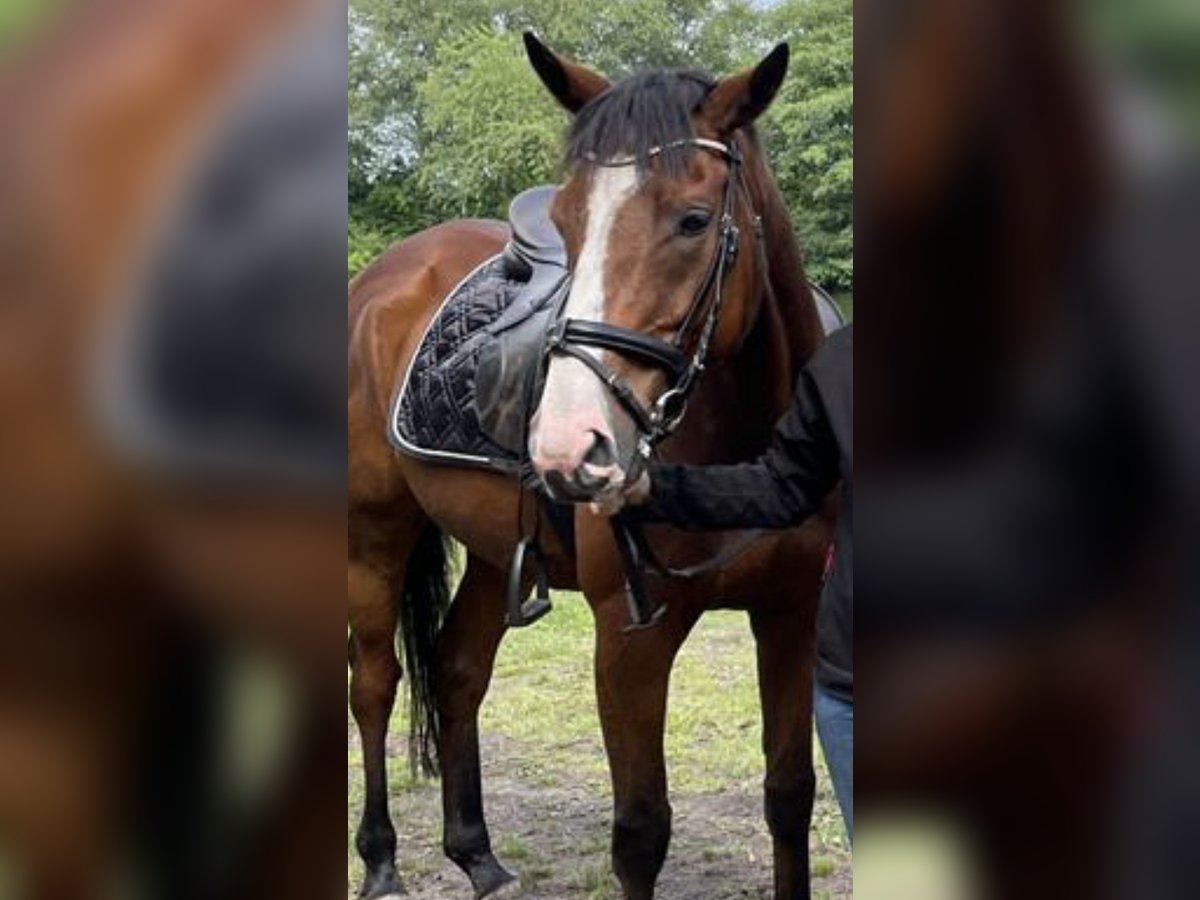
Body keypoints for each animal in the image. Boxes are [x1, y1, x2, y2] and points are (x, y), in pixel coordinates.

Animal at [350, 33, 835, 900]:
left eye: (694, 220)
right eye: (568, 223)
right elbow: (640, 834)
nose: (568, 446)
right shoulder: (630, 637)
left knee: (457, 670)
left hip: (490, 553)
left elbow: (788, 797)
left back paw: (477, 855)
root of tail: (380, 278)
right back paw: (380, 862)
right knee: (374, 685)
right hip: (375, 534)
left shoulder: (791, 614)